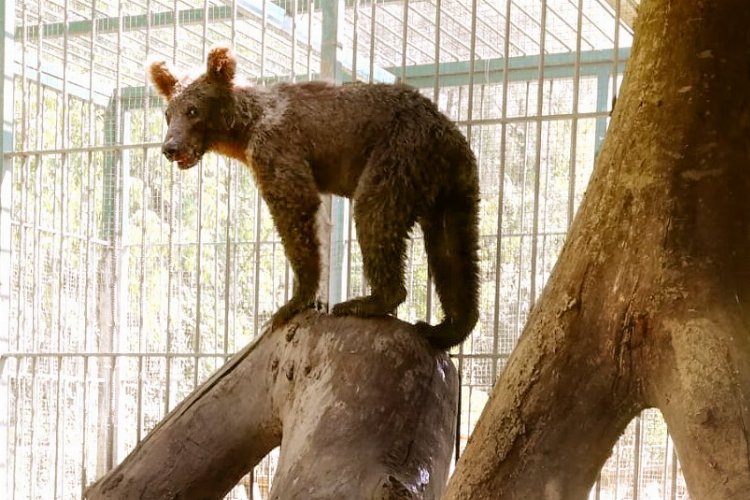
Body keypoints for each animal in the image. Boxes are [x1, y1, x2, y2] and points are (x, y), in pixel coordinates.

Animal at [150, 48, 482, 350]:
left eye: (192, 110)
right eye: (168, 114)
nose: (170, 148)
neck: (243, 132)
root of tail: (447, 135)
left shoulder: (278, 149)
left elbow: (297, 213)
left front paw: (293, 302)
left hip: (397, 156)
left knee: (375, 215)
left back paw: (364, 302)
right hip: (455, 190)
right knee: (455, 251)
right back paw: (446, 328)